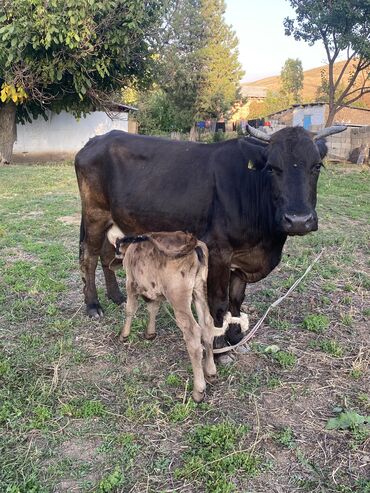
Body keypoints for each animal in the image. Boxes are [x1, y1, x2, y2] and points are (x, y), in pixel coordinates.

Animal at [75, 123, 346, 346]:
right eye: (272, 168)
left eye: (317, 166)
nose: (298, 220)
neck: (266, 242)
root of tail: (96, 140)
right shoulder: (218, 251)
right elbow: (219, 301)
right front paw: (218, 344)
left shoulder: (242, 257)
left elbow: (237, 299)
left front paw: (235, 337)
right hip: (95, 214)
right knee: (89, 257)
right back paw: (93, 305)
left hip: (112, 221)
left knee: (106, 256)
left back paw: (116, 296)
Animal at [106, 225, 223, 402]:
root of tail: (192, 242)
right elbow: (153, 308)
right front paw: (150, 333)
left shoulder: (130, 283)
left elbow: (130, 309)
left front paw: (124, 335)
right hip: (200, 289)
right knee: (207, 324)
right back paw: (210, 371)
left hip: (178, 296)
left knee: (193, 333)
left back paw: (198, 390)